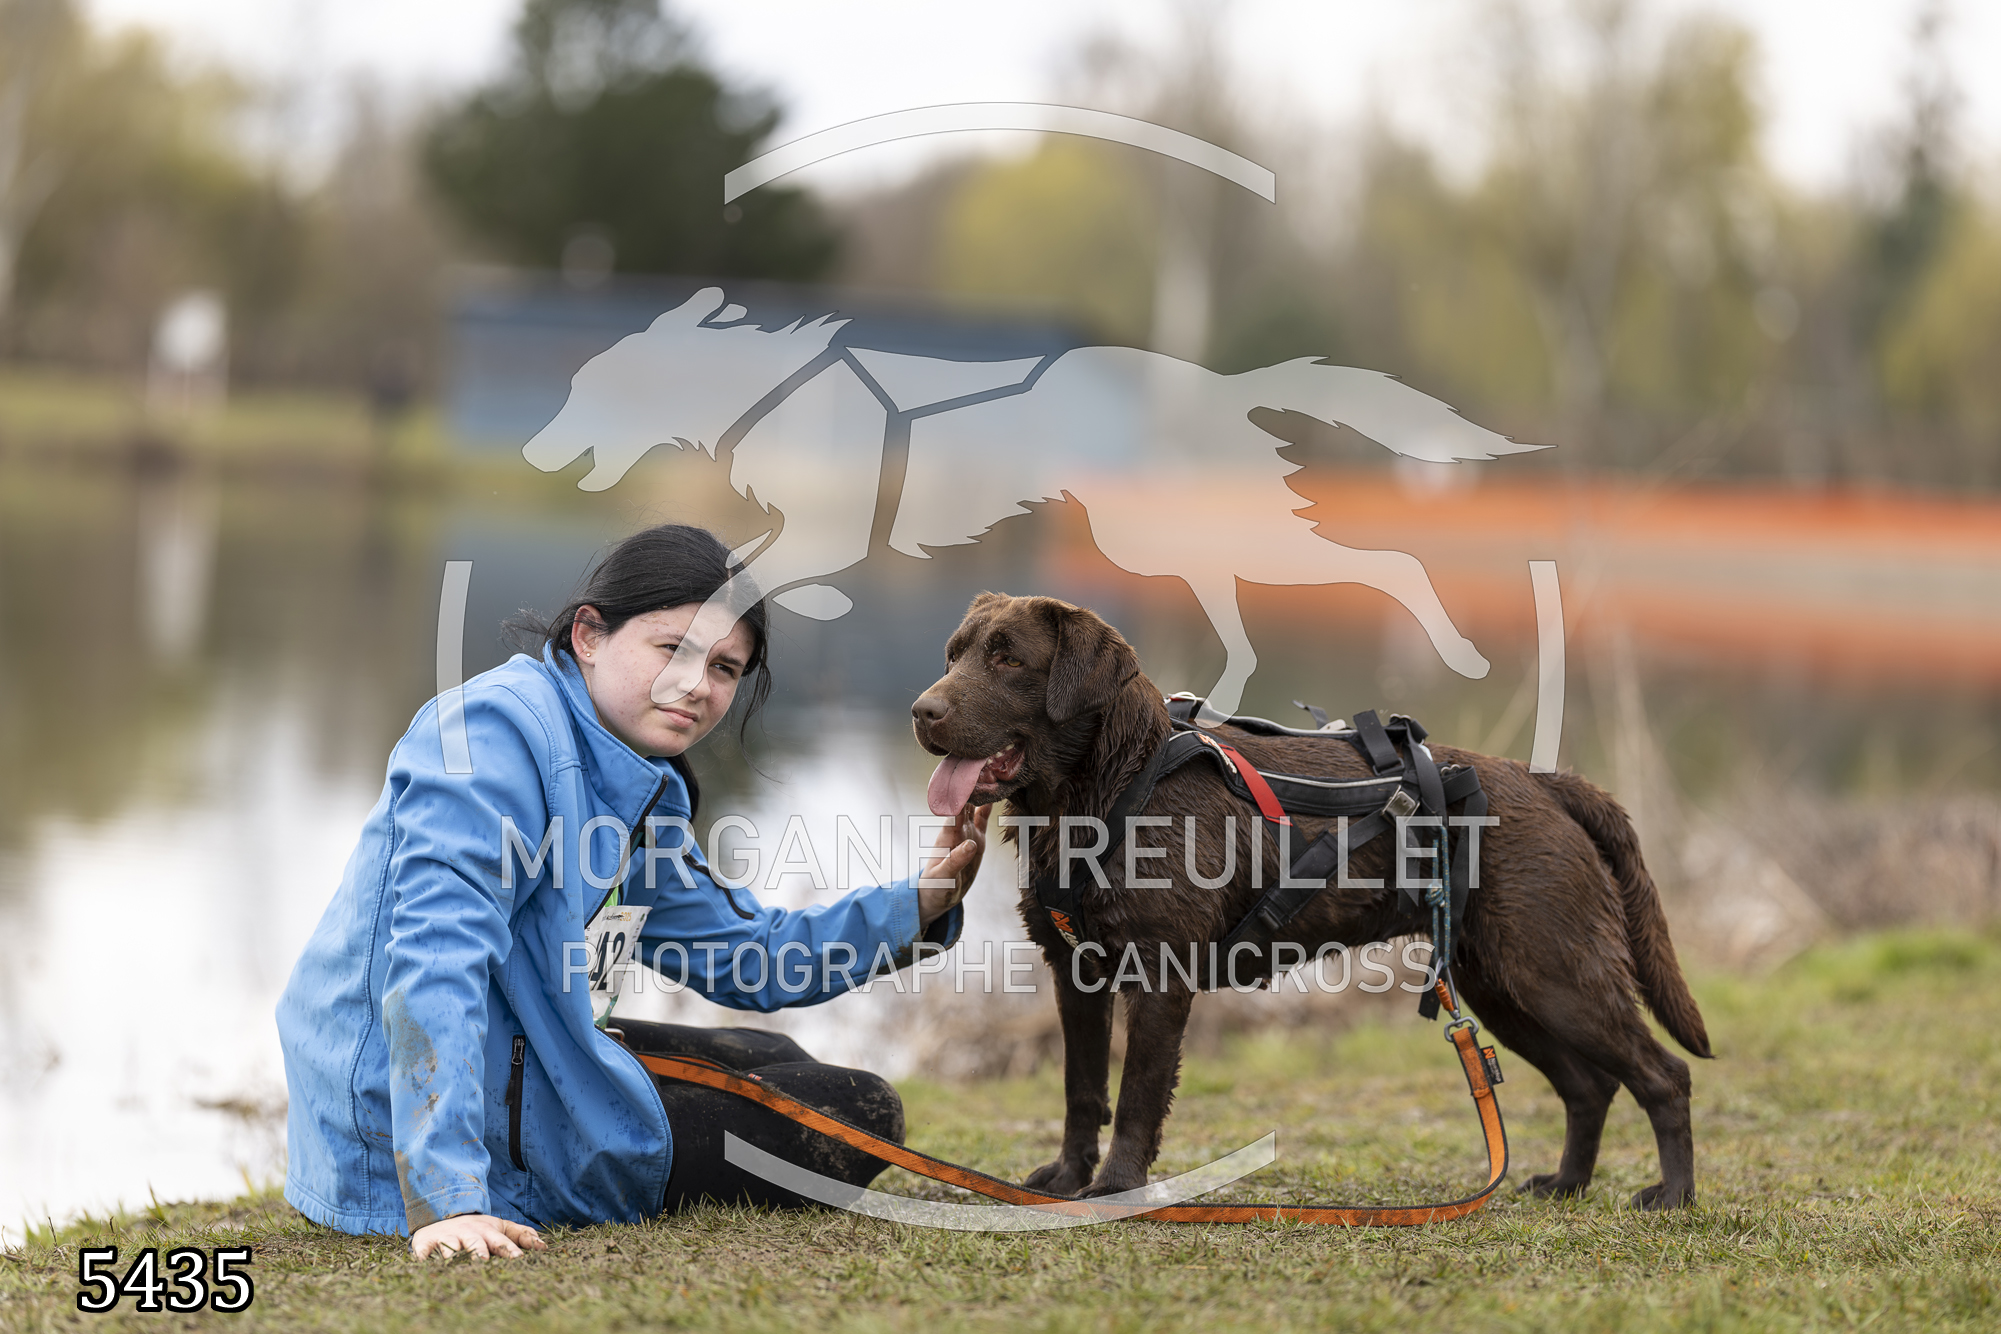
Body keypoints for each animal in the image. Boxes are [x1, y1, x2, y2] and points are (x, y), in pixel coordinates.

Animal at [521, 286, 1543, 714]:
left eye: (589, 382)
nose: (532, 447)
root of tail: (1222, 384)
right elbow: (755, 568)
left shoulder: (833, 524)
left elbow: (756, 573)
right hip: (1179, 551)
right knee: (1249, 646)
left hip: (1209, 539)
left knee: (1392, 562)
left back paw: (1458, 654)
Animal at [912, 593, 1712, 1210]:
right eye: (952, 655)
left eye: (1009, 660)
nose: (922, 710)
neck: (1114, 787)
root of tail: (1546, 781)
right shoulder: (1075, 974)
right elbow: (1082, 1089)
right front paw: (1067, 1179)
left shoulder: (1159, 980)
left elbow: (1136, 1096)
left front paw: (1115, 1188)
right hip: (1503, 987)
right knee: (1589, 1086)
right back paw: (1566, 1185)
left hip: (1556, 975)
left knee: (1663, 1076)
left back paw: (1672, 1196)